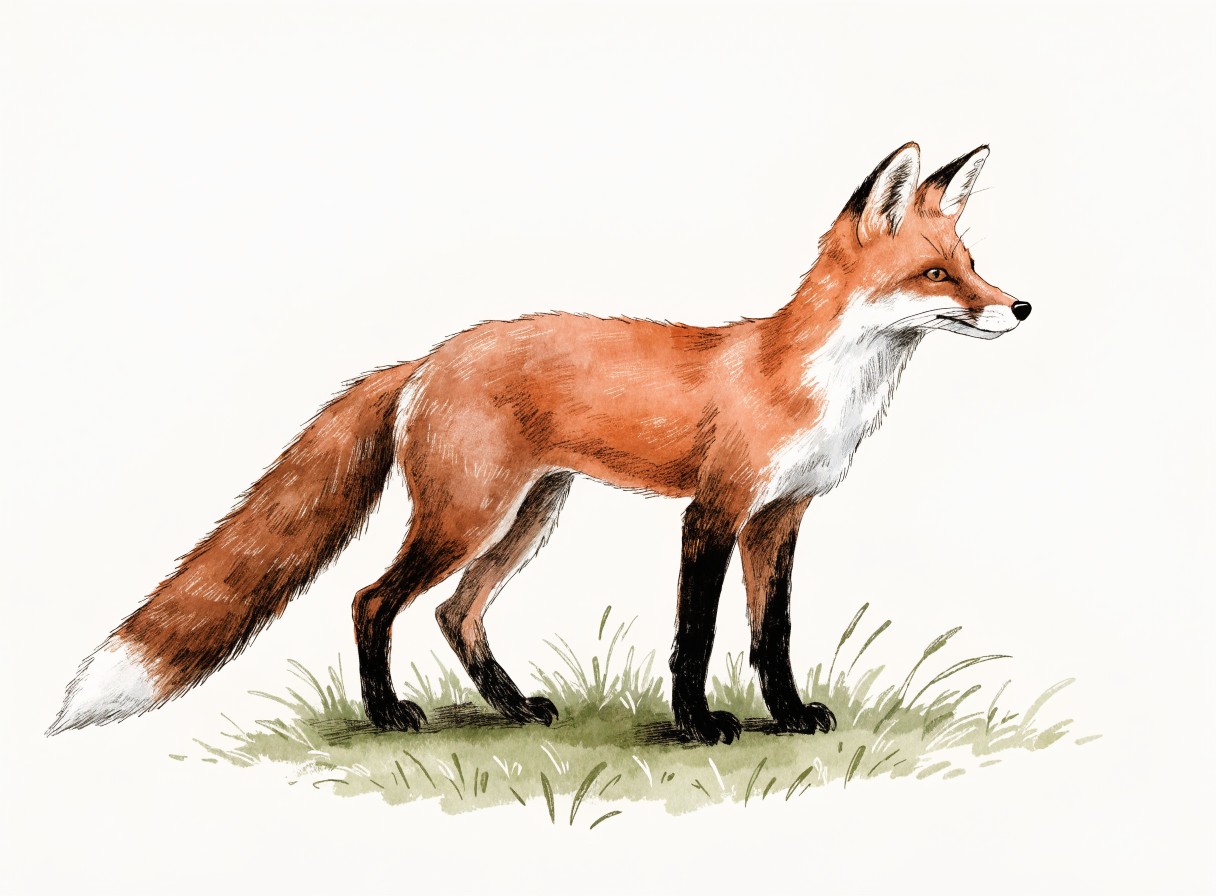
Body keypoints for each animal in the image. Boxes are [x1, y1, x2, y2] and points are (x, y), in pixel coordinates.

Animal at [50, 142, 1029, 745]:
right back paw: (390, 714)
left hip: (527, 517)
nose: (1020, 306)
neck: (811, 379)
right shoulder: (712, 514)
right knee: (373, 600)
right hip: (468, 516)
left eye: (973, 264)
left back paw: (513, 705)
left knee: (455, 613)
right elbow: (697, 635)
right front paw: (697, 725)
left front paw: (786, 717)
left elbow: (772, 635)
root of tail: (426, 356)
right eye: (936, 273)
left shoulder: (779, 519)